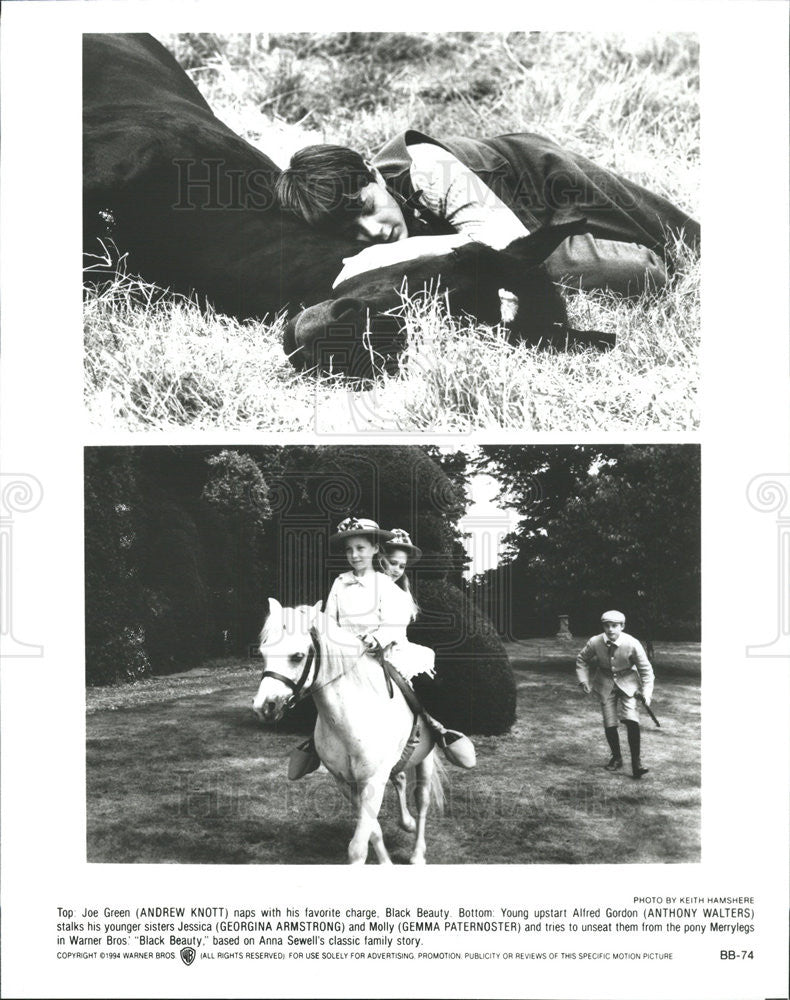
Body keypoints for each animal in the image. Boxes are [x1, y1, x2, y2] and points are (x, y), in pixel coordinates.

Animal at [252, 596, 442, 864]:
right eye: (263, 652)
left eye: (297, 656)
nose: (263, 707)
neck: (346, 721)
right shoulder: (345, 782)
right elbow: (373, 830)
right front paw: (386, 862)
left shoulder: (372, 781)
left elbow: (358, 847)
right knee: (401, 779)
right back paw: (407, 823)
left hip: (425, 757)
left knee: (422, 800)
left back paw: (417, 853)